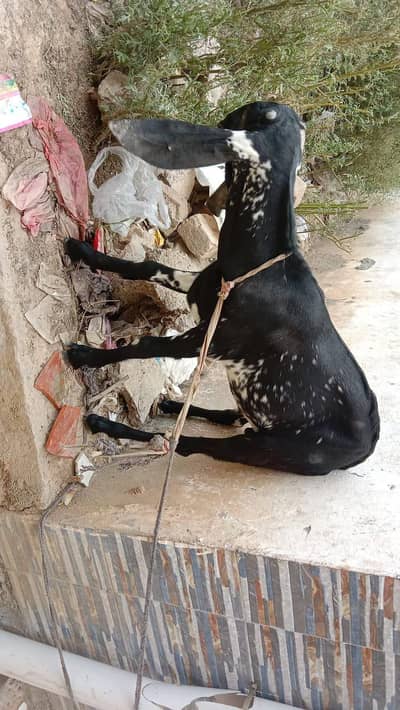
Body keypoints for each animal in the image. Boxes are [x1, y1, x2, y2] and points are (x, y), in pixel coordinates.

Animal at [65, 101, 379, 475]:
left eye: (246, 112)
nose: (220, 119)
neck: (256, 266)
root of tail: (367, 447)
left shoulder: (207, 339)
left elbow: (147, 345)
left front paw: (86, 356)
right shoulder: (198, 291)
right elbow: (147, 267)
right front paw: (82, 251)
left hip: (269, 447)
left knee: (182, 443)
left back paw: (108, 424)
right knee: (227, 418)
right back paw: (172, 405)